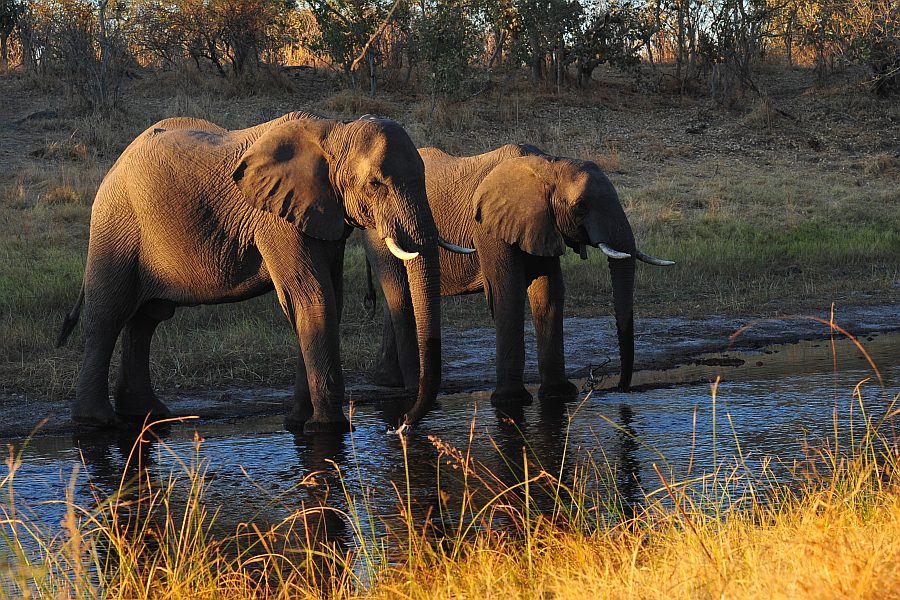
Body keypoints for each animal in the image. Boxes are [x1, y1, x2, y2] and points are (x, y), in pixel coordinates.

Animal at [54, 111, 464, 432]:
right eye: (376, 184)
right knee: (109, 314)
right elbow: (311, 296)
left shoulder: (319, 212)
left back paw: (149, 416)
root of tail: (114, 166)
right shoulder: (275, 218)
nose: (401, 425)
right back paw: (98, 422)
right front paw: (327, 428)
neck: (334, 133)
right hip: (116, 225)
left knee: (146, 319)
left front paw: (298, 422)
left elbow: (326, 298)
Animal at [362, 145, 672, 408]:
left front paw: (560, 394)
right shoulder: (489, 227)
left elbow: (549, 293)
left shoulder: (542, 223)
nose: (621, 388)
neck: (548, 165)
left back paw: (387, 381)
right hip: (379, 232)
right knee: (398, 292)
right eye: (581, 206)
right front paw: (511, 401)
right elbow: (507, 292)